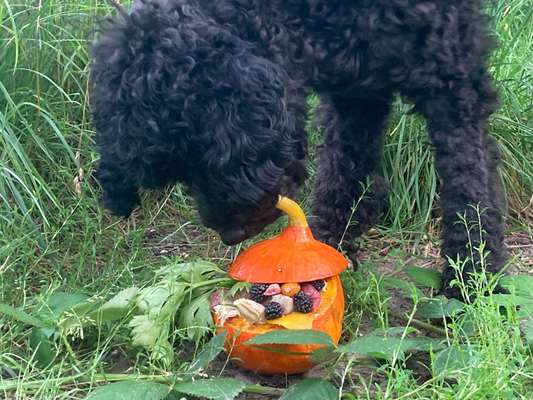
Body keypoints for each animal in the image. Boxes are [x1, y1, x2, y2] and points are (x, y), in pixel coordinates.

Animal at [91, 0, 508, 298]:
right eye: (175, 170)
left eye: (205, 148)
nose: (230, 234)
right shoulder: (356, 89)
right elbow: (342, 172)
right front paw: (325, 251)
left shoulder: (452, 84)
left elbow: (470, 184)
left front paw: (473, 279)